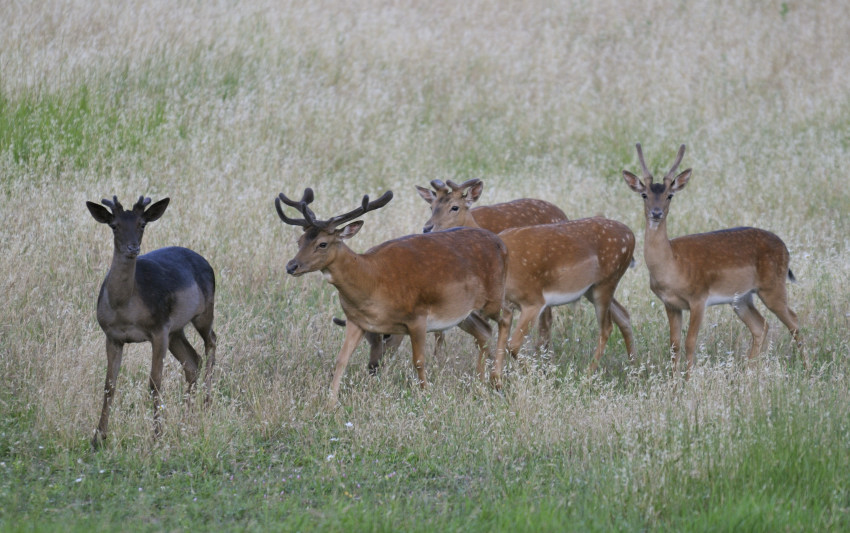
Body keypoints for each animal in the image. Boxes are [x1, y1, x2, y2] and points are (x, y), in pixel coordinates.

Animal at [86, 194, 217, 444]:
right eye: (114, 225)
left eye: (142, 224)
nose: (133, 247)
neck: (124, 308)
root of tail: (207, 262)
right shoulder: (112, 335)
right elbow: (109, 385)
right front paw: (98, 438)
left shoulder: (158, 329)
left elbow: (155, 382)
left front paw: (157, 436)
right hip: (176, 330)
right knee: (192, 361)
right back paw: (186, 420)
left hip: (203, 313)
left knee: (211, 341)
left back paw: (206, 406)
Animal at [274, 187, 510, 400]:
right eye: (299, 241)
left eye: (322, 244)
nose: (291, 266)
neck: (373, 283)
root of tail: (501, 244)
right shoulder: (356, 320)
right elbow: (341, 359)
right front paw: (330, 403)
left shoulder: (417, 315)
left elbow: (418, 361)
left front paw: (426, 396)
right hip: (462, 312)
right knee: (484, 331)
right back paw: (481, 382)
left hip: (493, 295)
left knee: (505, 318)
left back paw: (497, 380)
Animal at [620, 143, 804, 376]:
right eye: (644, 194)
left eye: (670, 195)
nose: (656, 212)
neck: (672, 265)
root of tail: (785, 248)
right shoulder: (670, 304)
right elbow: (674, 344)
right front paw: (673, 380)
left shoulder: (699, 297)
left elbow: (690, 342)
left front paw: (688, 380)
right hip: (741, 298)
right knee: (760, 325)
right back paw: (748, 371)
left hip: (773, 286)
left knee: (794, 320)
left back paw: (806, 367)